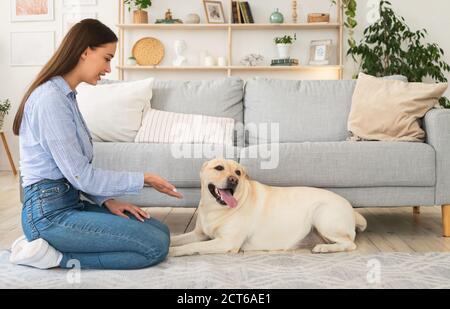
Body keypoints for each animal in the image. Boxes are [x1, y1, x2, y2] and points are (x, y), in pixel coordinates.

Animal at [169, 159, 366, 255]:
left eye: (238, 172)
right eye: (219, 168)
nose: (234, 180)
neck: (215, 208)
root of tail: (350, 207)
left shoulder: (226, 242)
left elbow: (190, 247)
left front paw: (173, 252)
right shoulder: (198, 234)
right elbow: (177, 238)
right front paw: (171, 243)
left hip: (321, 215)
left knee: (350, 244)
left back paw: (324, 249)